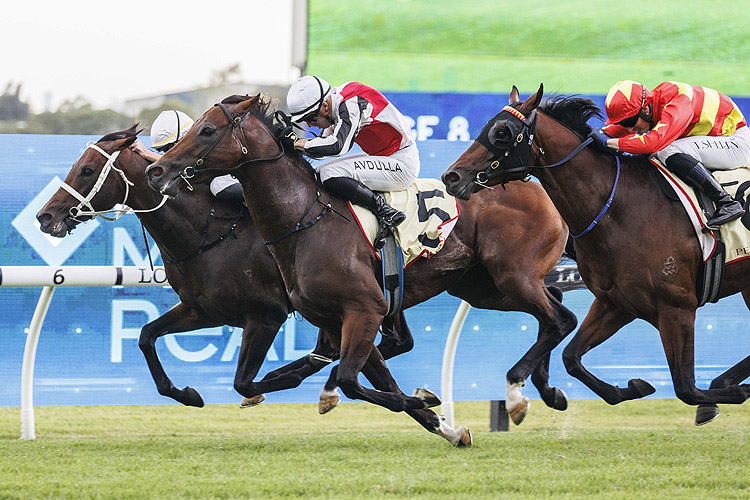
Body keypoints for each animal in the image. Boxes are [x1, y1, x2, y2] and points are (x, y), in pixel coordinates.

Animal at [36, 126, 418, 414]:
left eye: (86, 170)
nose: (45, 216)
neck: (205, 232)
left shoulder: (265, 315)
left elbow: (244, 382)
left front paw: (266, 388)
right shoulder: (203, 309)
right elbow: (146, 335)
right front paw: (187, 394)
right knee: (391, 343)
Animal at [145, 94, 580, 438]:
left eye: (206, 131)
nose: (156, 170)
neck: (304, 220)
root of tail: (536, 186)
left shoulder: (360, 309)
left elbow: (352, 381)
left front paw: (423, 401)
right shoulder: (345, 316)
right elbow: (366, 376)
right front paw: (442, 423)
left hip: (512, 276)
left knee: (560, 317)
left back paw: (520, 394)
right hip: (482, 287)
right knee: (554, 305)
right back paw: (543, 389)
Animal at [440, 84, 750, 424]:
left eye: (502, 132)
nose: (452, 177)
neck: (620, 209)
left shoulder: (677, 307)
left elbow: (687, 388)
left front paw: (733, 394)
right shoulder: (616, 303)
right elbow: (571, 357)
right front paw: (632, 387)